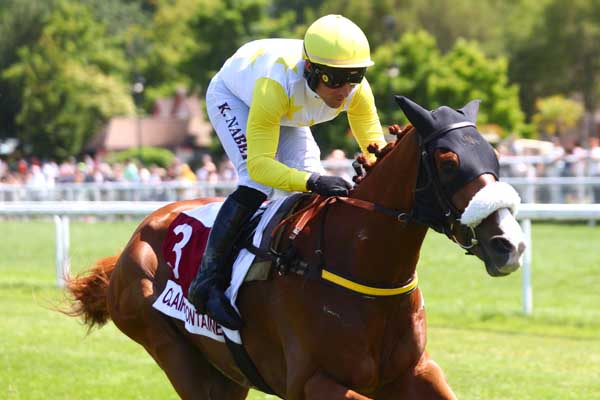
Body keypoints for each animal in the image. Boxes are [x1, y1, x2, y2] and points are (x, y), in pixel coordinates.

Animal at [65, 97, 524, 400]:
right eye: (448, 161)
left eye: (494, 155)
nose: (510, 244)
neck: (364, 269)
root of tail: (133, 241)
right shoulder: (311, 382)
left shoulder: (414, 371)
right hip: (175, 354)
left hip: (226, 375)